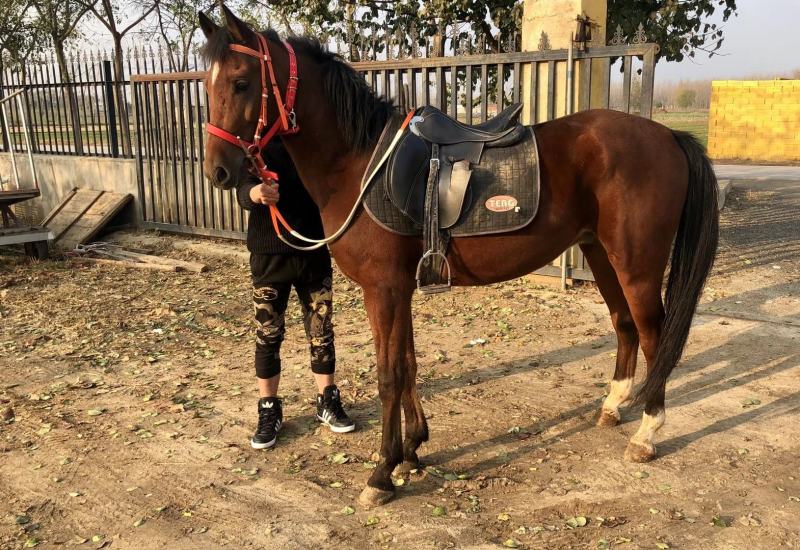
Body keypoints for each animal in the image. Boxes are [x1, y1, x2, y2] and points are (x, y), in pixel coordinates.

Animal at [198, 6, 719, 507]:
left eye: (241, 82)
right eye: (207, 82)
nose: (219, 172)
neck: (359, 163)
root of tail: (668, 136)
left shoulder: (383, 290)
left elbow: (389, 375)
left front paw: (381, 474)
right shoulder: (400, 289)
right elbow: (408, 365)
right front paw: (412, 452)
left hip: (637, 266)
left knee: (654, 336)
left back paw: (647, 433)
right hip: (602, 255)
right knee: (624, 325)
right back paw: (613, 407)